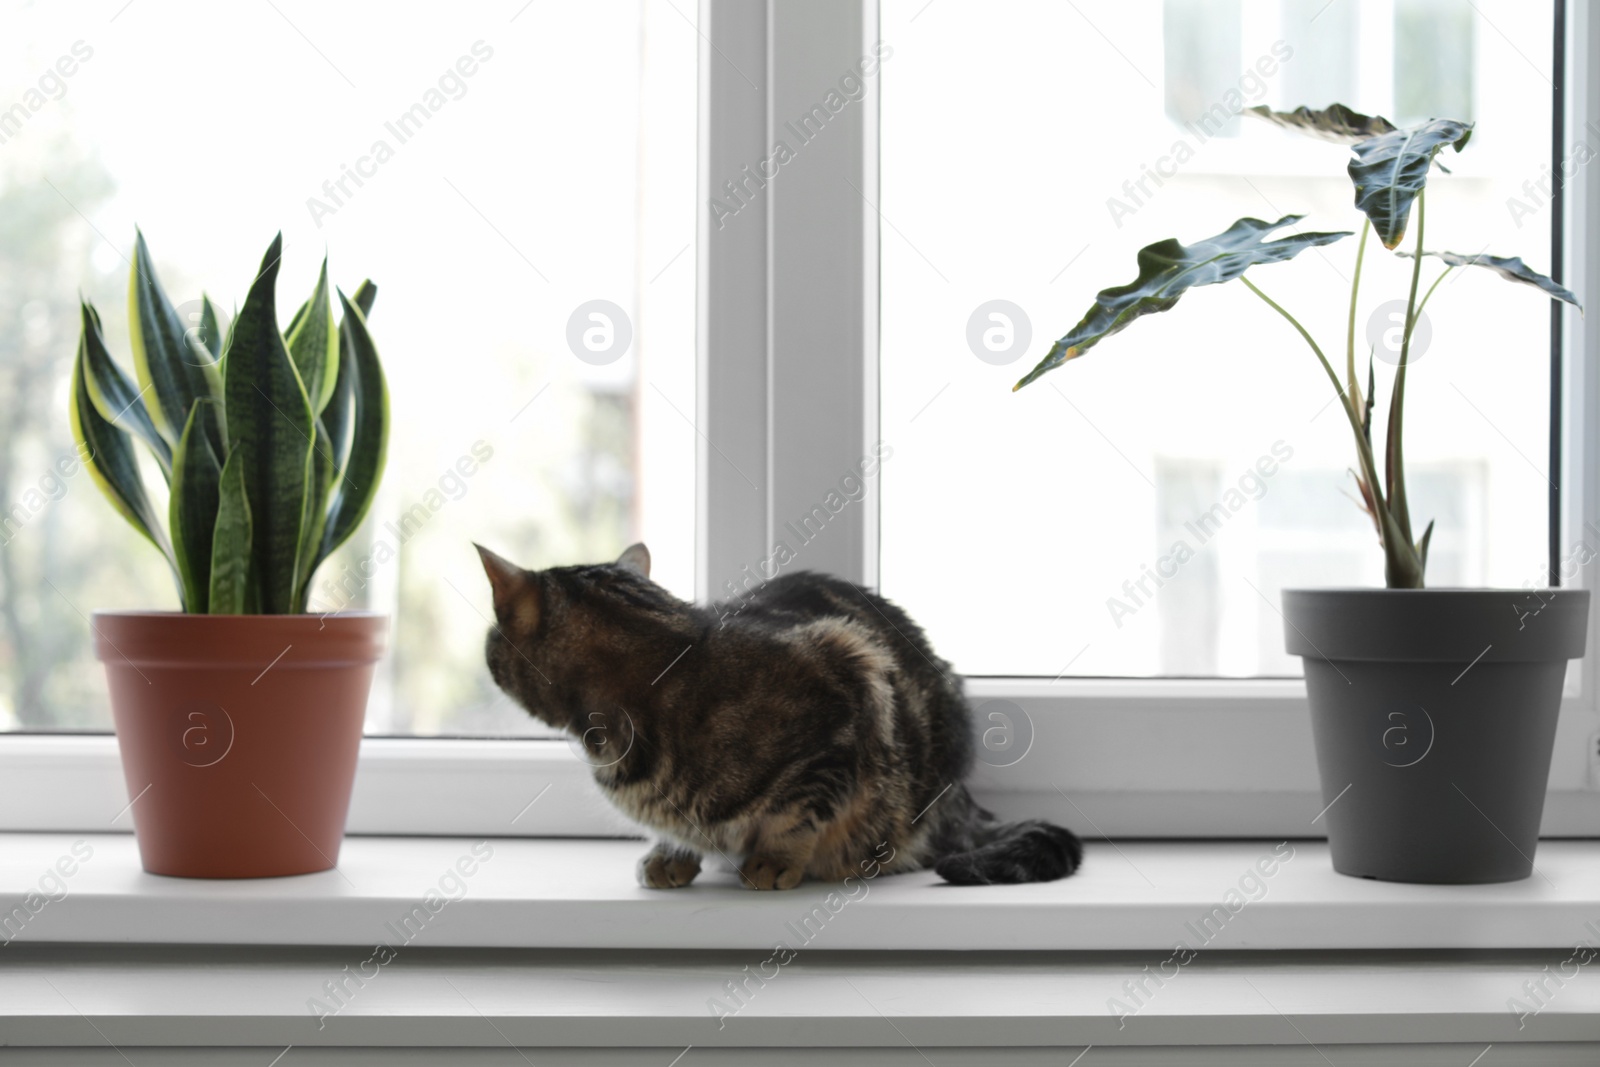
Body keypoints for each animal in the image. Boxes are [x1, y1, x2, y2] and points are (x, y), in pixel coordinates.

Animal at [467, 547, 1081, 889]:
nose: (486, 650)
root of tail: (961, 797)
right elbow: (676, 827)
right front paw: (671, 855)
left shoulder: (848, 693)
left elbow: (800, 813)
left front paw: (774, 861)